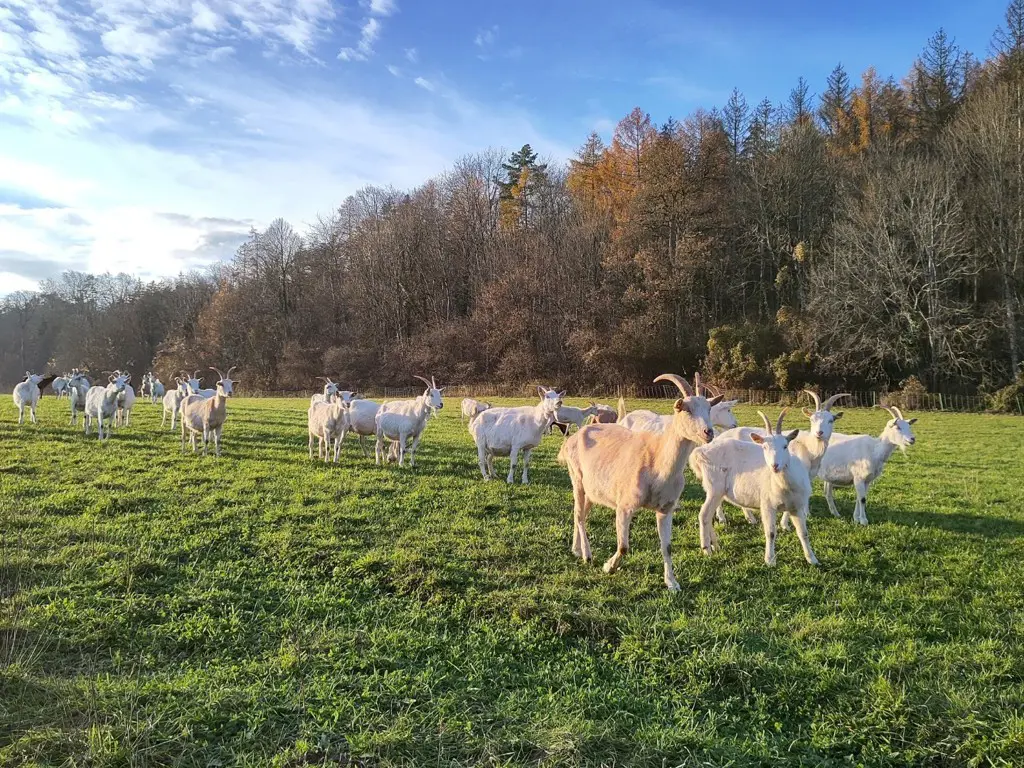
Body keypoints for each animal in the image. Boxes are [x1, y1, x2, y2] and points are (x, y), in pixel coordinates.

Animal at [558, 373, 719, 591]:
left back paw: (576, 550)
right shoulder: (624, 505)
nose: (708, 432)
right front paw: (609, 567)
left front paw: (672, 583)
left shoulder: (665, 508)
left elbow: (667, 547)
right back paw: (587, 555)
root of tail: (572, 439)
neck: (656, 463)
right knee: (579, 515)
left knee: (581, 513)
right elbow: (623, 546)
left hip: (593, 490)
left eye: (709, 408)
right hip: (577, 479)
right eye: (684, 408)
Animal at [689, 410, 819, 567]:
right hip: (715, 488)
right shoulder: (768, 504)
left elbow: (803, 533)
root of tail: (699, 452)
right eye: (764, 447)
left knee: (708, 515)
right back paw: (707, 549)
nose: (774, 466)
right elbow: (770, 532)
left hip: (716, 491)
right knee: (704, 515)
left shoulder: (797, 506)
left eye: (785, 446)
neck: (786, 484)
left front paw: (812, 559)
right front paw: (770, 560)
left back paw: (715, 544)